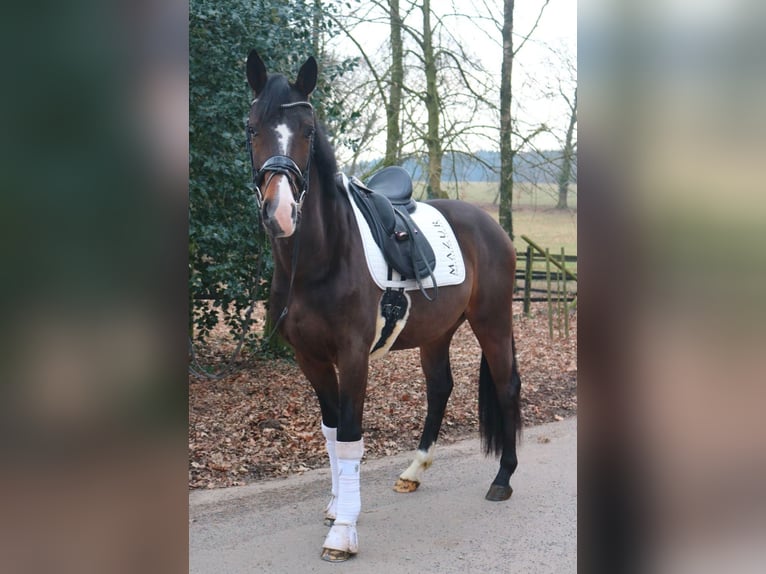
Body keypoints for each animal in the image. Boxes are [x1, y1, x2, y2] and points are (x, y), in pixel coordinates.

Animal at [246, 49, 520, 564]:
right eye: (252, 127)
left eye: (307, 131)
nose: (281, 213)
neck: (322, 258)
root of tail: (491, 226)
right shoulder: (310, 358)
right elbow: (331, 431)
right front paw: (337, 506)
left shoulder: (353, 357)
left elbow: (351, 438)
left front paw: (343, 533)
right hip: (438, 332)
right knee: (440, 388)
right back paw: (414, 470)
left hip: (492, 321)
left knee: (506, 385)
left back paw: (503, 478)